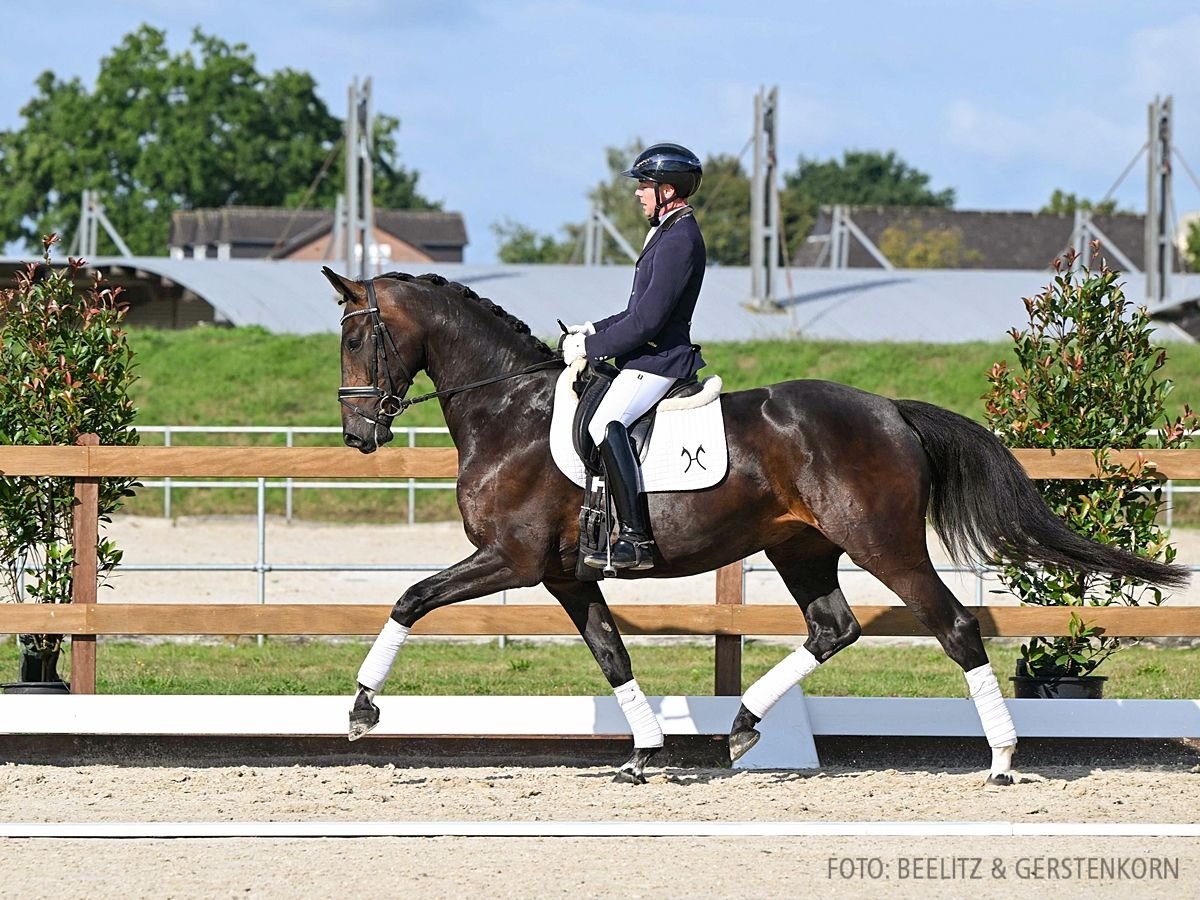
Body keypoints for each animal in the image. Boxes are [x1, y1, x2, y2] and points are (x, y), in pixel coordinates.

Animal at [328, 264, 1190, 787]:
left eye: (355, 336)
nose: (359, 436)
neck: (509, 409)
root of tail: (889, 409)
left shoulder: (510, 557)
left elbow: (409, 599)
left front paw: (363, 710)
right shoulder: (564, 574)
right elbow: (611, 654)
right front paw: (643, 753)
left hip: (882, 543)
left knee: (954, 626)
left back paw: (1005, 758)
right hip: (801, 545)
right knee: (834, 628)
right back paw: (742, 725)